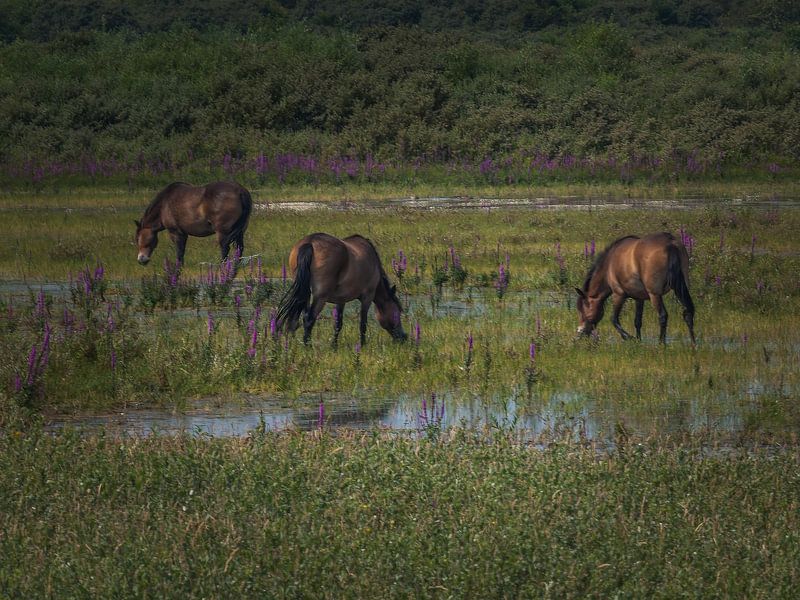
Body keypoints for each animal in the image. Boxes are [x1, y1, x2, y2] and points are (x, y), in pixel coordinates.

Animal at [276, 233, 408, 346]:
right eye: (397, 313)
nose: (403, 337)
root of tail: (310, 242)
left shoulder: (341, 300)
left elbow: (338, 323)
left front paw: (334, 346)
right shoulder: (367, 297)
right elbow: (363, 323)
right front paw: (363, 345)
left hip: (306, 293)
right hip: (320, 297)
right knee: (309, 319)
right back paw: (308, 347)